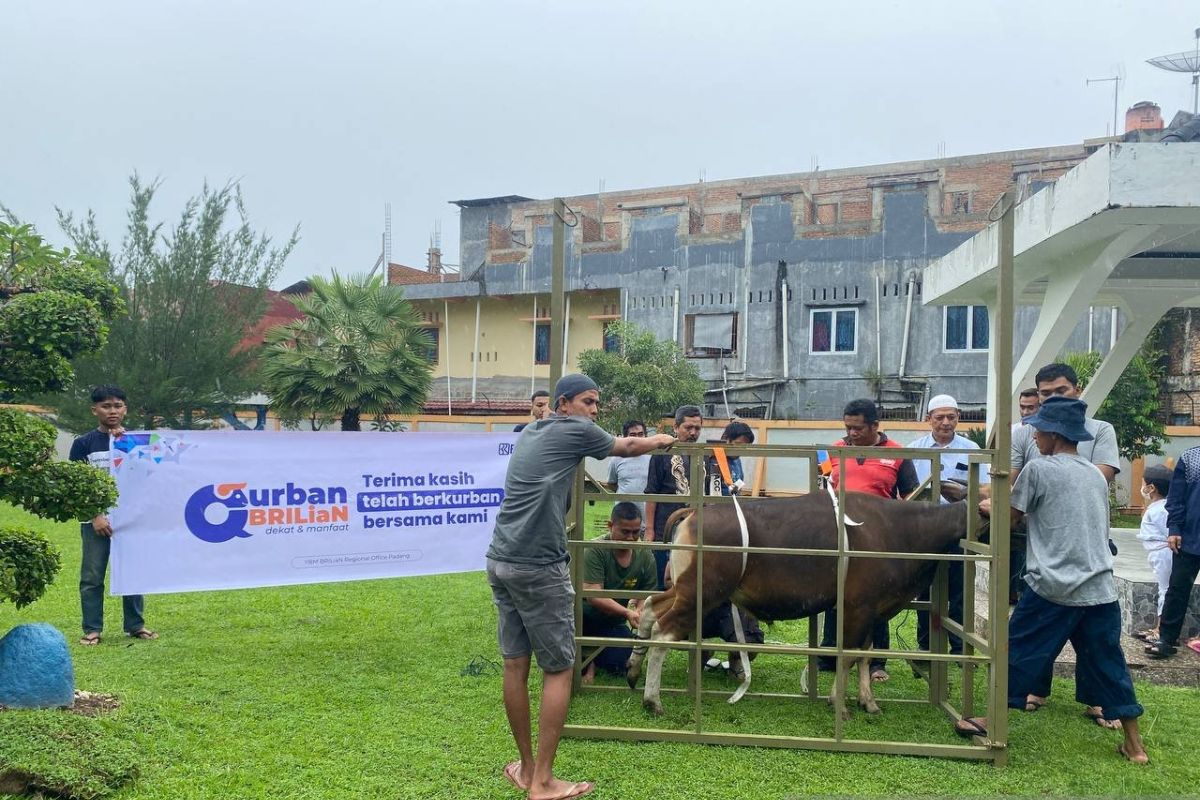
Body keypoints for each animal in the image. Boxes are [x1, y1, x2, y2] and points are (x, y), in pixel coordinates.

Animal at [628, 491, 974, 724]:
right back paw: (652, 699)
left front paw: (869, 702)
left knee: (650, 607)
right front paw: (839, 704)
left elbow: (864, 655)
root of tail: (696, 513)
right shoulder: (857, 607)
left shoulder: (873, 610)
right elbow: (847, 656)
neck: (900, 529)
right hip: (703, 592)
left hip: (685, 588)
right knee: (664, 631)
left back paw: (633, 671)